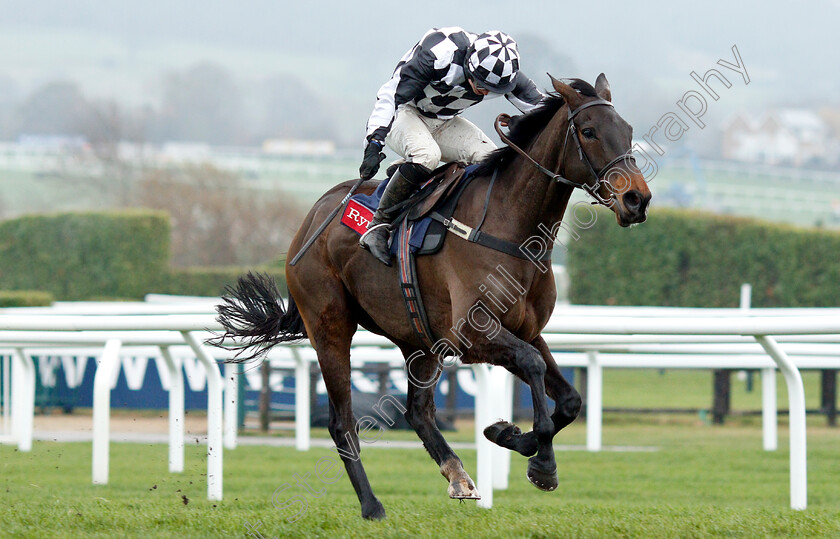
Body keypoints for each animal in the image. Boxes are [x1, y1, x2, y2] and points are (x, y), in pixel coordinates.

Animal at [210, 75, 648, 520]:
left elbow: (570, 398)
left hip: (418, 338)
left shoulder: (526, 329)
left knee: (417, 412)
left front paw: (508, 434)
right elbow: (532, 365)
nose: (637, 199)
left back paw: (457, 474)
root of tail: (311, 218)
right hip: (329, 326)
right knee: (343, 422)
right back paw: (372, 505)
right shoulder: (474, 334)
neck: (512, 228)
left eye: (628, 130)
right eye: (589, 132)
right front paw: (540, 460)